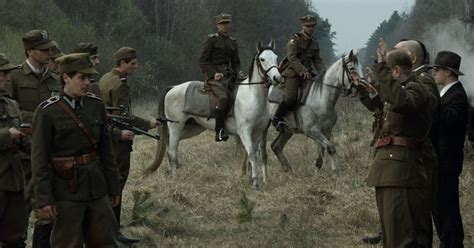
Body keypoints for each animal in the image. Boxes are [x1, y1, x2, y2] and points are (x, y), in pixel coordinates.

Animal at [146, 40, 284, 188]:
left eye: (276, 58)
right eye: (262, 59)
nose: (277, 78)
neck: (251, 96)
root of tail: (172, 88)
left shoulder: (257, 132)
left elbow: (251, 154)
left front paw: (250, 179)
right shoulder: (245, 132)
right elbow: (252, 154)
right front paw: (255, 183)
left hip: (191, 128)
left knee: (168, 144)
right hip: (176, 127)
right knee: (172, 151)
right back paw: (175, 178)